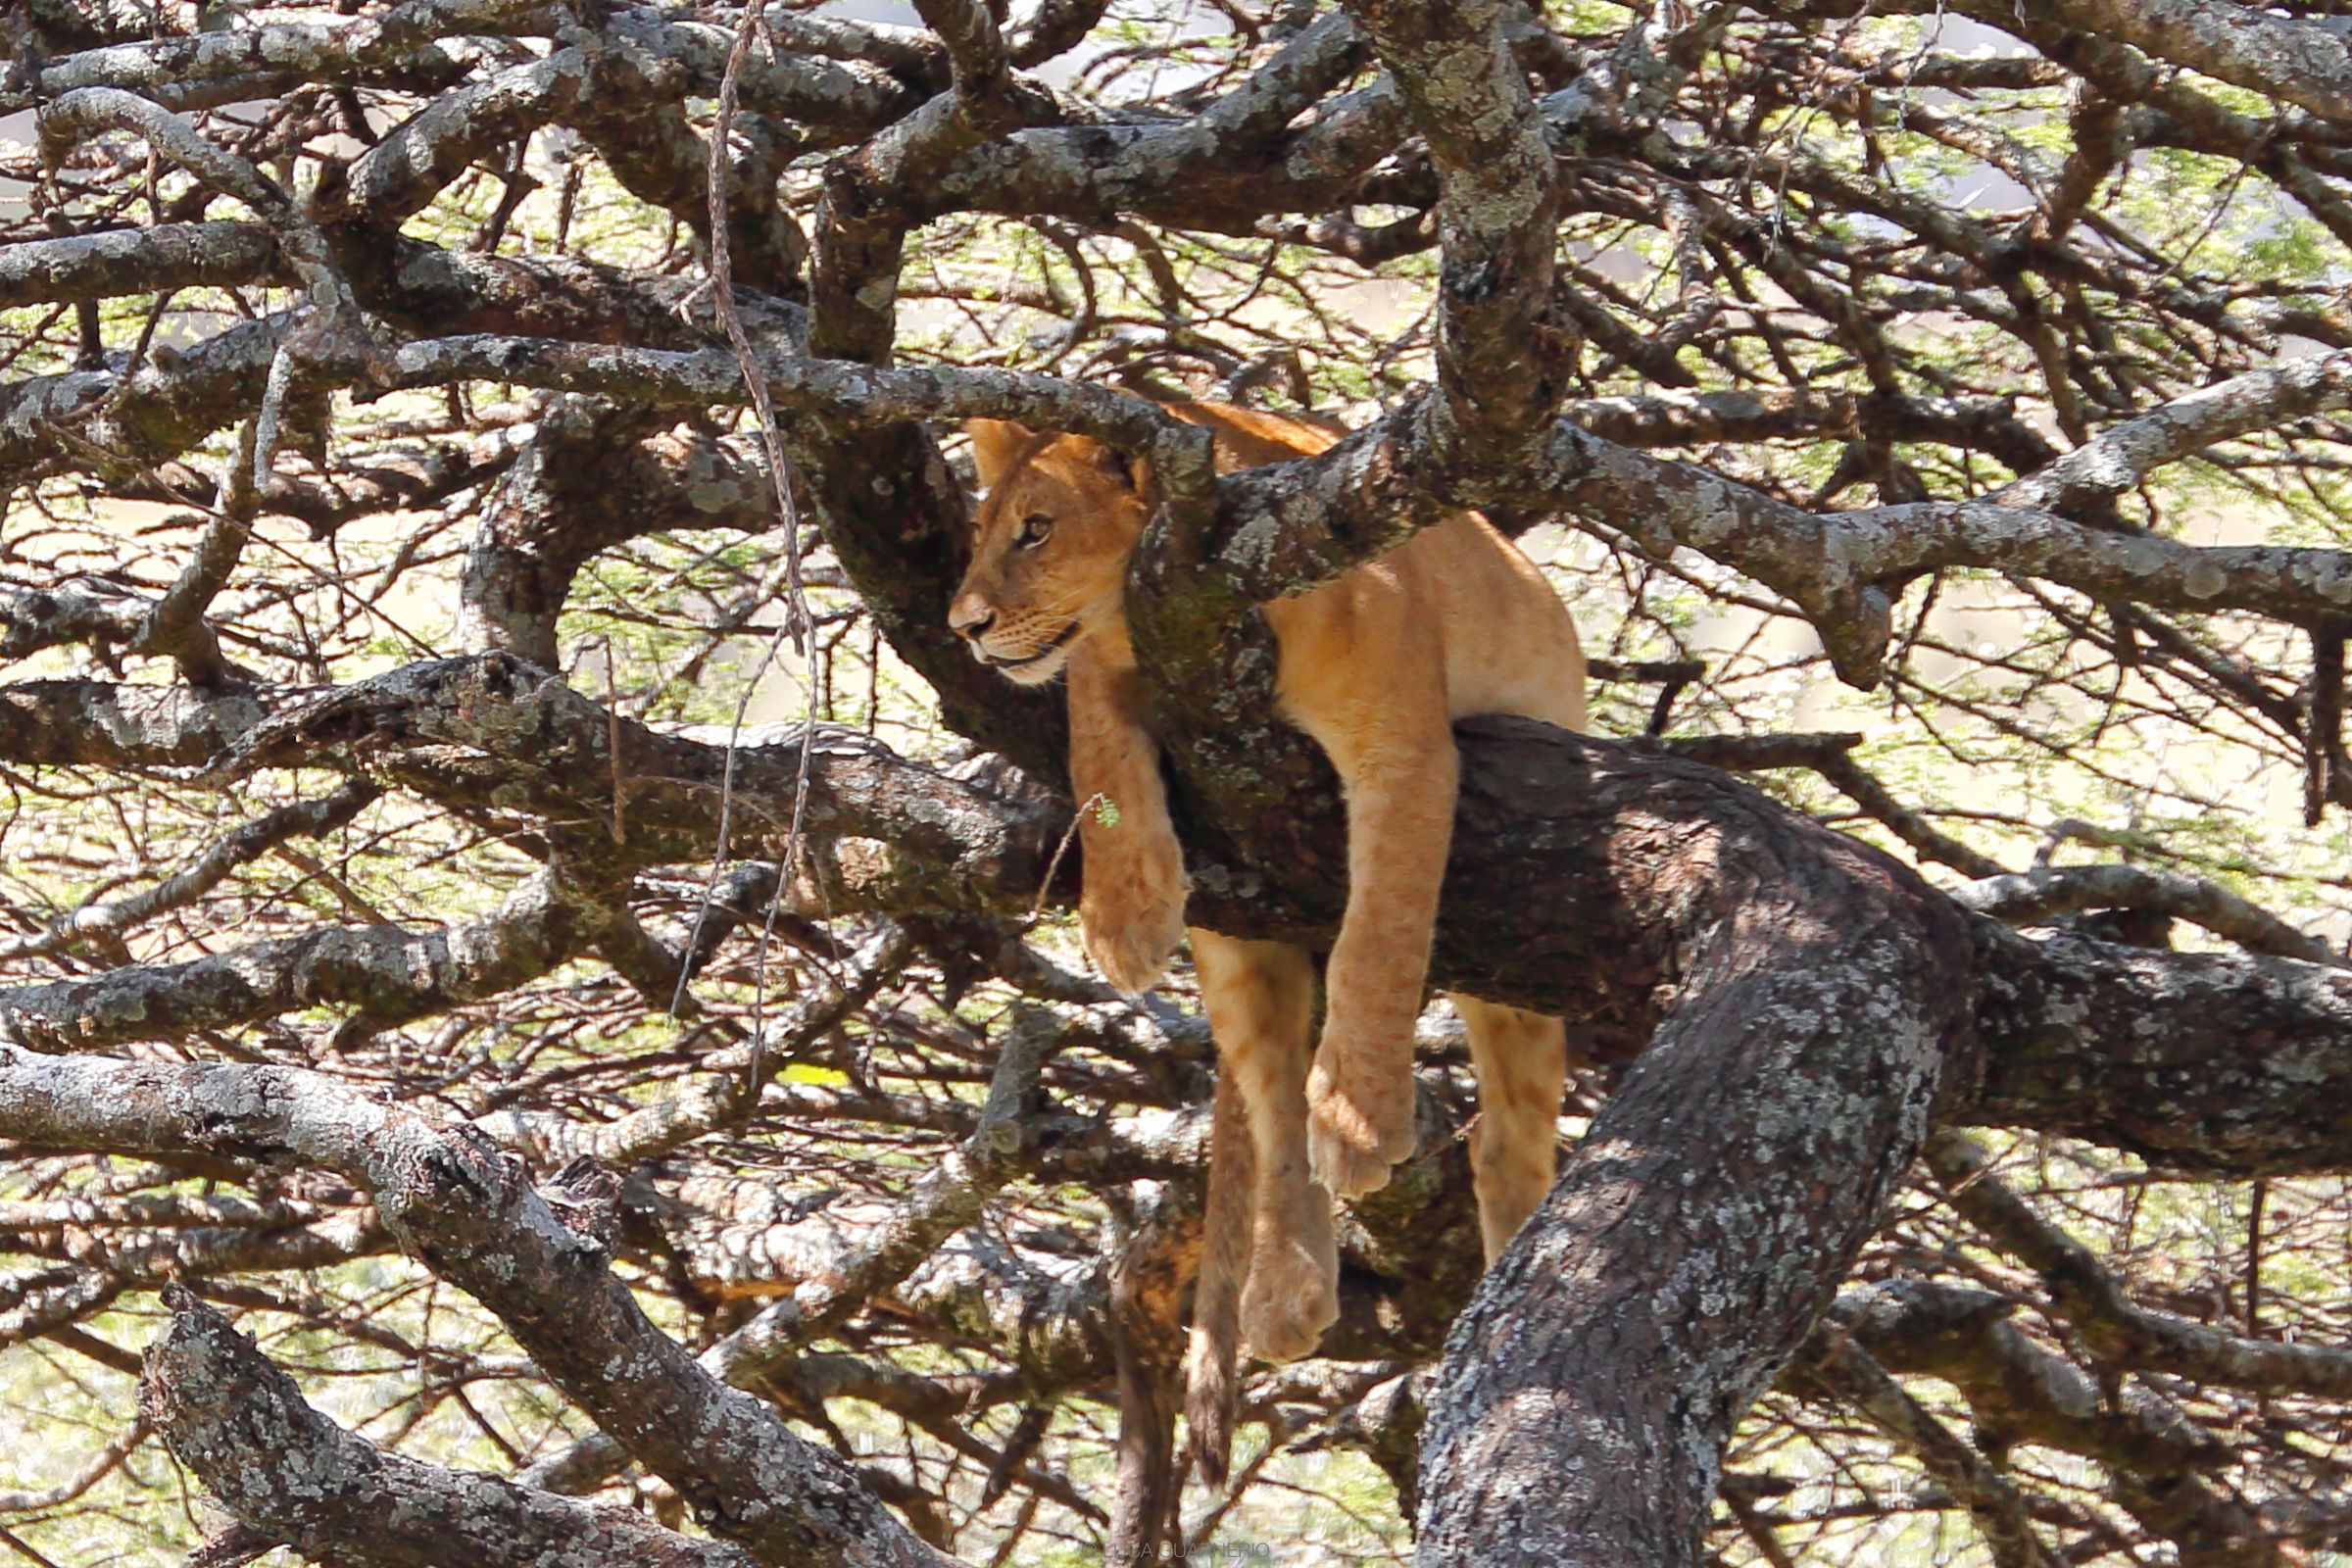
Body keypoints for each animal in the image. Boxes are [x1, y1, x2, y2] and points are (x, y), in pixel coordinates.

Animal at [948, 402, 1585, 1486]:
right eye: (983, 527)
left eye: (1036, 530)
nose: (965, 625)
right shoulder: (1114, 667)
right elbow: (1093, 743)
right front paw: (1122, 918)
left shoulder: (1407, 754)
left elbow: (1381, 939)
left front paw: (1364, 1118)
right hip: (1240, 941)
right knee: (1275, 1100)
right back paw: (1286, 1291)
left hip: (1521, 969)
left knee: (1507, 1142)